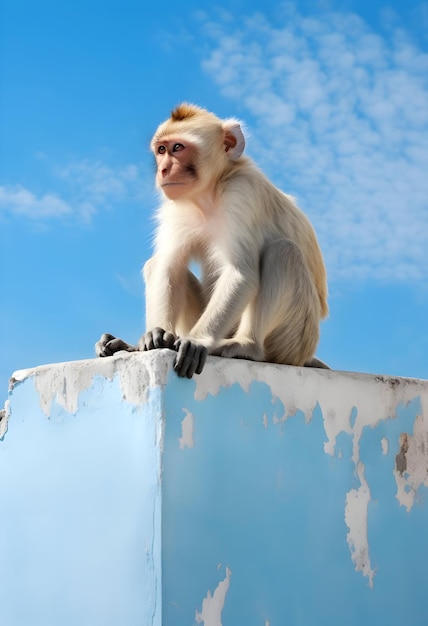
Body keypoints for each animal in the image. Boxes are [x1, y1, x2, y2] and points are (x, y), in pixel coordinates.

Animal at [97, 103, 330, 376]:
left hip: (295, 338)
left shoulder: (243, 191)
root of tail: (306, 354)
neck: (209, 193)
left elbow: (242, 273)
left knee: (284, 252)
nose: (163, 169)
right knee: (157, 264)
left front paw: (197, 341)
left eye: (178, 148)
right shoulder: (176, 207)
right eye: (161, 150)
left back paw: (247, 345)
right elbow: (169, 267)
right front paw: (156, 334)